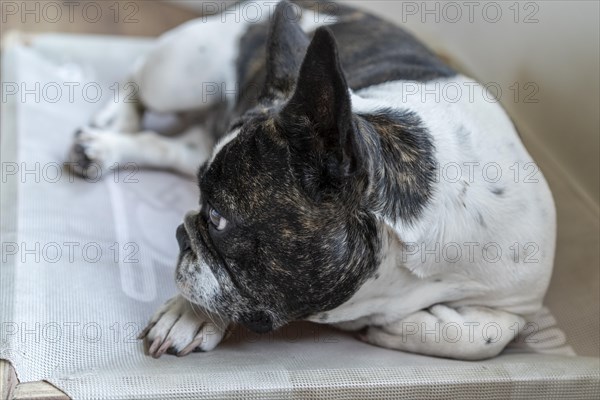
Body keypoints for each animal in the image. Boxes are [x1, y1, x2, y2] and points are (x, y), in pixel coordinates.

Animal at [69, 0, 556, 360]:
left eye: (218, 217)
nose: (178, 235)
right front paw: (190, 314)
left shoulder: (521, 301)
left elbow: (486, 337)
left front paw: (397, 324)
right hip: (182, 70)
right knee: (139, 75)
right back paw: (110, 127)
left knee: (174, 146)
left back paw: (103, 147)